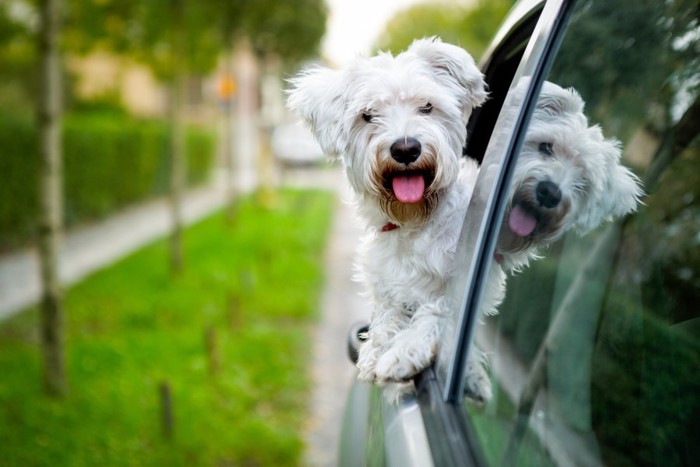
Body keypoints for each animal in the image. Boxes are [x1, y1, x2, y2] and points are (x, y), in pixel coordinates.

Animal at [290, 39, 486, 392]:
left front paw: (406, 351)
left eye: (426, 107)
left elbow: (439, 308)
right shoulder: (386, 282)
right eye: (368, 115)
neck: (413, 222)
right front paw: (377, 349)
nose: (405, 149)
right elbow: (388, 313)